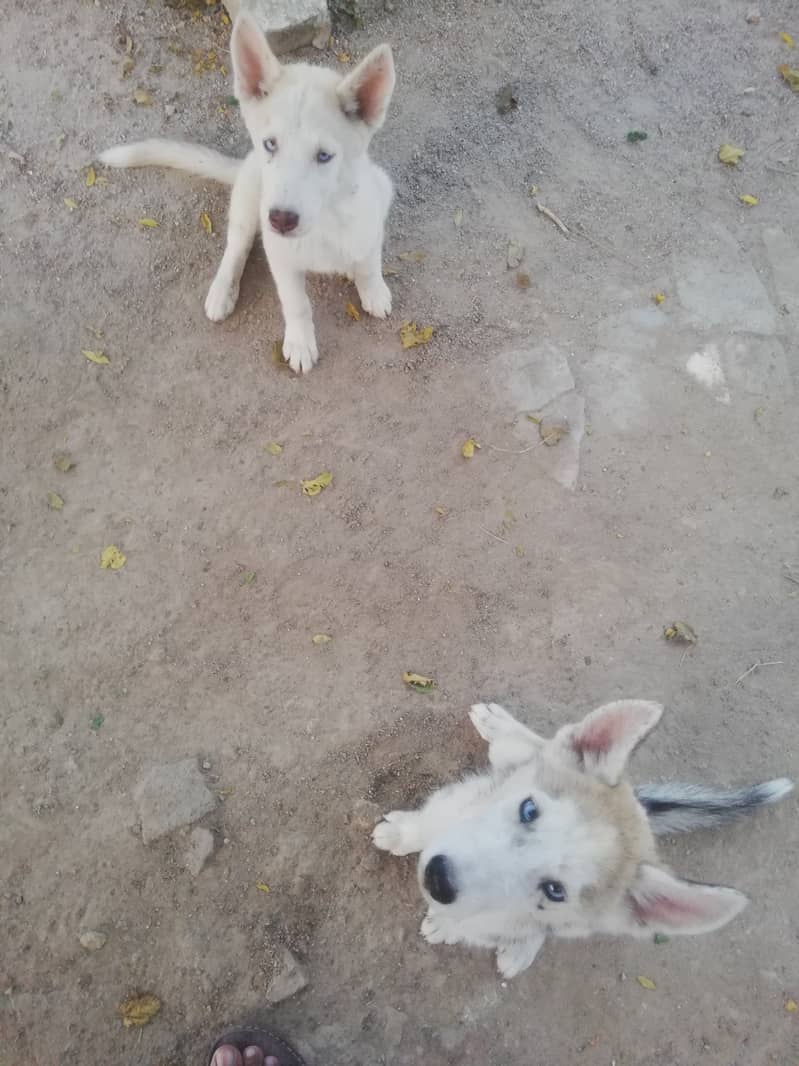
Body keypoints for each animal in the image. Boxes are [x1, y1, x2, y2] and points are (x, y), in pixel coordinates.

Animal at [101, 13, 396, 375]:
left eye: (324, 156)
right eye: (271, 144)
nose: (281, 219)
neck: (323, 224)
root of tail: (245, 162)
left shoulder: (373, 216)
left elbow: (369, 262)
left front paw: (373, 290)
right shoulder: (280, 257)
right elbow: (296, 303)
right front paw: (300, 342)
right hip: (247, 199)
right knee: (236, 248)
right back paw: (222, 291)